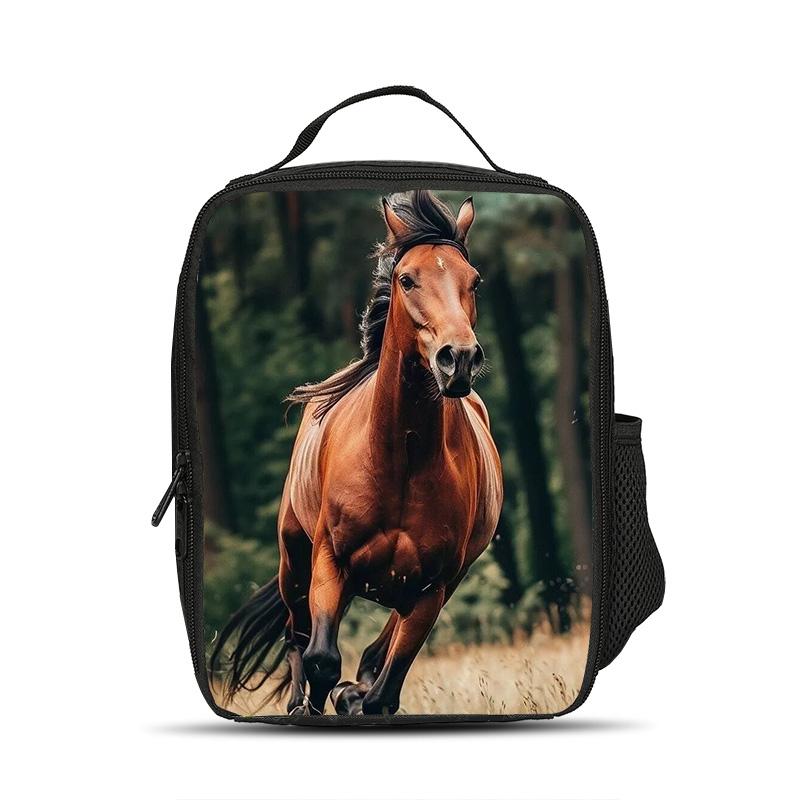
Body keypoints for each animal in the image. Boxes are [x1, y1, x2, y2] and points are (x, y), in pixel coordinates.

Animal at [210, 189, 503, 715]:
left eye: (474, 281)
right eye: (407, 279)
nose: (460, 359)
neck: (402, 458)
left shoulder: (431, 588)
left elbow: (384, 687)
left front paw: (355, 696)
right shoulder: (331, 560)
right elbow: (322, 658)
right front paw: (321, 701)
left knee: (371, 655)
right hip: (295, 561)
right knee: (297, 638)